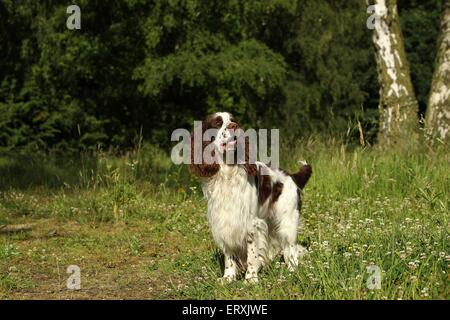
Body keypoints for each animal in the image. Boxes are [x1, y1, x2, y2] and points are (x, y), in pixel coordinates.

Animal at [188, 112, 312, 282]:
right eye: (217, 123)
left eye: (233, 120)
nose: (233, 126)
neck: (228, 173)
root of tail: (292, 176)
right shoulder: (224, 221)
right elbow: (229, 256)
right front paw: (228, 277)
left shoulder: (251, 224)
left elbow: (252, 254)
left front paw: (251, 278)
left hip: (288, 221)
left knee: (291, 249)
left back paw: (292, 271)